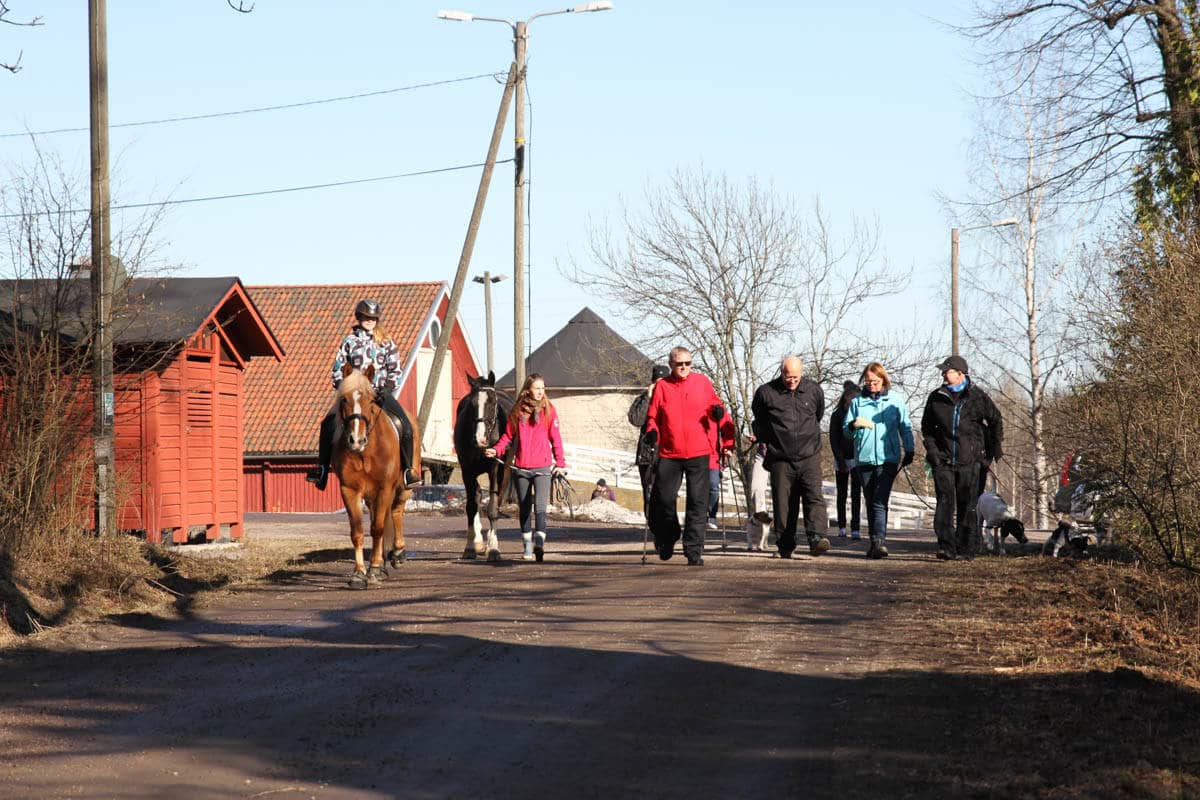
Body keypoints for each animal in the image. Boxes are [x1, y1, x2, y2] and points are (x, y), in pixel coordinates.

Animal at [331, 362, 420, 587]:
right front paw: (359, 573)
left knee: (396, 513)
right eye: (344, 399)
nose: (356, 440)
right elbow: (358, 531)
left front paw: (373, 570)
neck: (365, 452)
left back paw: (397, 554)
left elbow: (378, 529)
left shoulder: (384, 488)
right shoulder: (349, 490)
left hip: (402, 489)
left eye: (370, 400)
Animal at [451, 371, 513, 561]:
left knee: (497, 500)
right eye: (472, 403)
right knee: (477, 495)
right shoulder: (466, 470)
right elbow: (471, 507)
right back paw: (478, 541)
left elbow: (492, 508)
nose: (480, 439)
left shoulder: (494, 469)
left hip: (504, 472)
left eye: (492, 402)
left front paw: (493, 548)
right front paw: (470, 546)